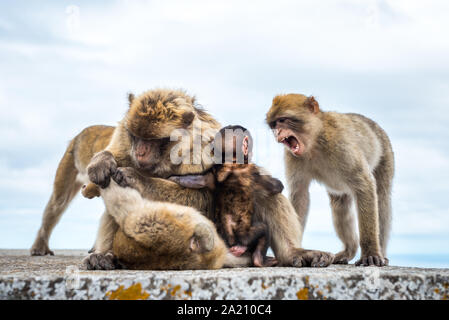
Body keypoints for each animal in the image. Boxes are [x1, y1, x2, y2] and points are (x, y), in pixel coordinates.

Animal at [170, 125, 282, 268]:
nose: (250, 154)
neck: (230, 163)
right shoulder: (252, 170)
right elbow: (275, 186)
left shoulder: (211, 175)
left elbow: (197, 180)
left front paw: (173, 178)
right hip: (246, 236)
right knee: (263, 230)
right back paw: (258, 259)